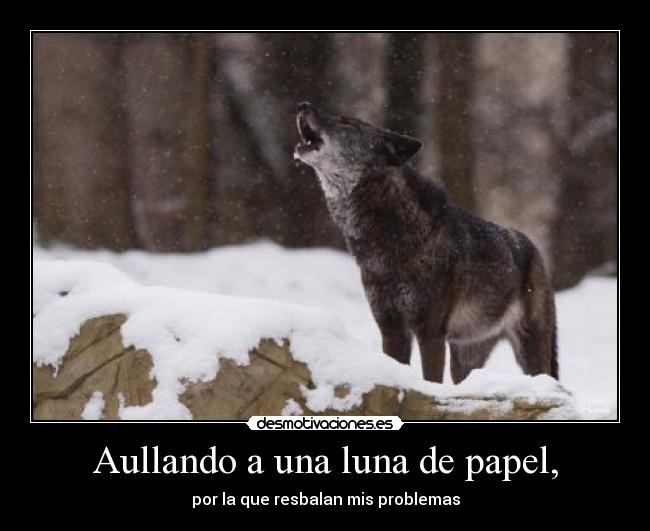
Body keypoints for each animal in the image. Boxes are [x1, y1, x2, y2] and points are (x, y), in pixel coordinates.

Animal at [294, 101, 558, 384]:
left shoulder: (430, 331)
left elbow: (429, 379)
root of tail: (533, 248)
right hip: (464, 358)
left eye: (348, 123)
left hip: (530, 348)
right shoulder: (391, 328)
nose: (303, 104)